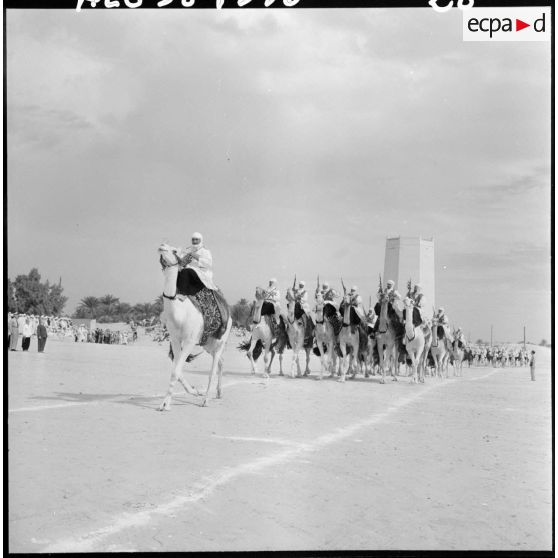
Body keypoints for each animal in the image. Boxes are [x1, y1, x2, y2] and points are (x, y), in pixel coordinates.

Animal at [158, 245, 232, 412]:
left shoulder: (190, 340)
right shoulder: (175, 339)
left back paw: (206, 400)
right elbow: (176, 370)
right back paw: (218, 393)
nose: (162, 246)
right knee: (221, 361)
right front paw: (193, 391)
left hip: (220, 340)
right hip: (207, 343)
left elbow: (175, 371)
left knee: (213, 368)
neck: (179, 312)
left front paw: (165, 405)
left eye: (174, 251)